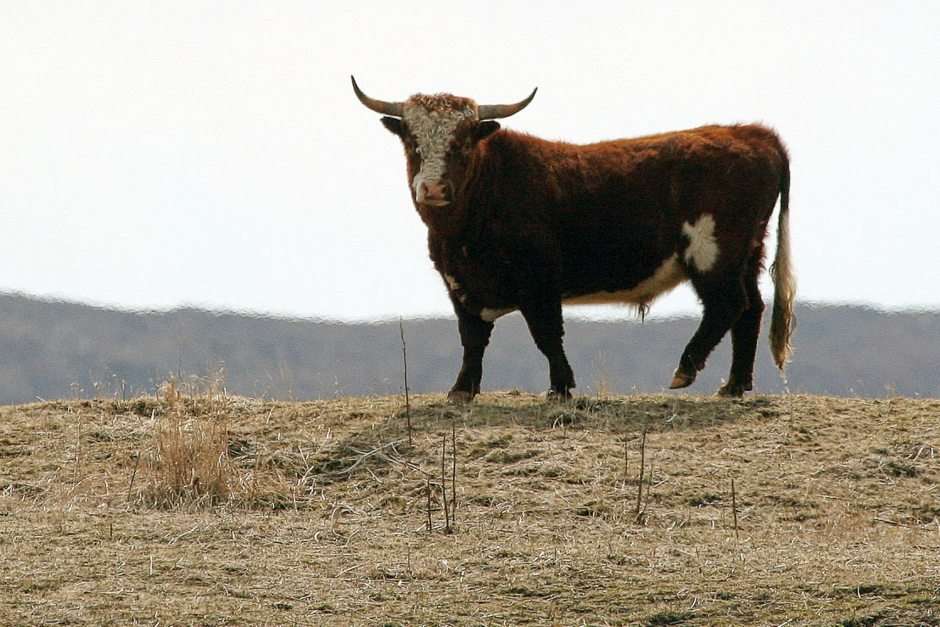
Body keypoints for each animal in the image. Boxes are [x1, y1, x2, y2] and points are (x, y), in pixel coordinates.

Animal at [352, 77, 792, 402]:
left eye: (461, 143)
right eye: (413, 141)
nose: (432, 189)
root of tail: (753, 134)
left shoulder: (538, 281)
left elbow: (546, 333)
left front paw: (560, 387)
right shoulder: (458, 283)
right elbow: (472, 337)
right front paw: (462, 390)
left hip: (713, 251)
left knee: (727, 305)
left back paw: (686, 370)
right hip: (748, 252)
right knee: (751, 308)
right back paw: (734, 385)